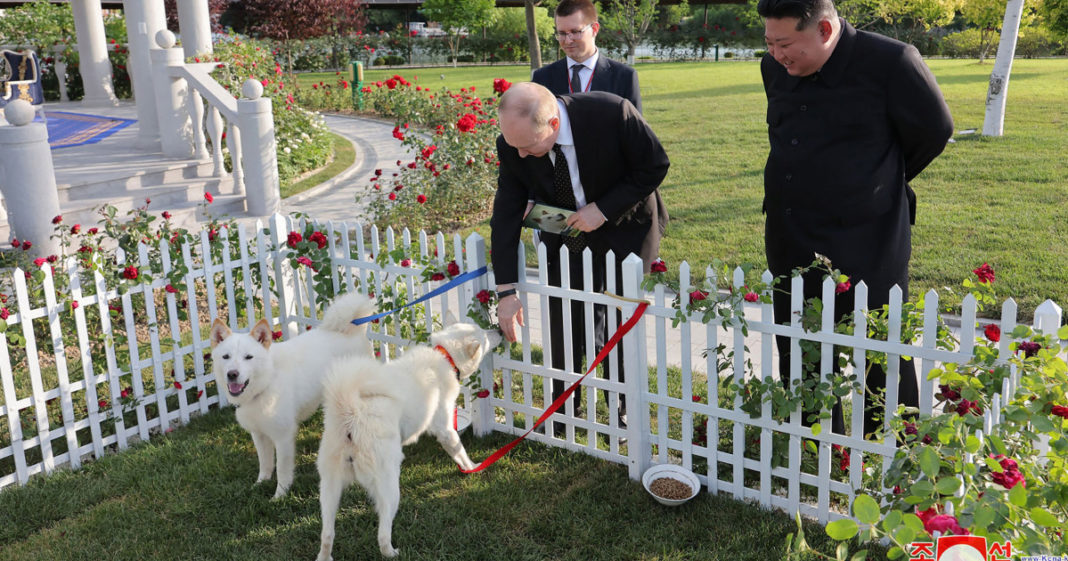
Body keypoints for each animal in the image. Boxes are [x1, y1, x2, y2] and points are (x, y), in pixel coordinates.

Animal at [208, 290, 375, 495]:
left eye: (248, 357)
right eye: (226, 357)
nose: (232, 374)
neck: (267, 381)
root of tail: (352, 329)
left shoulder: (283, 437)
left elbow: (282, 470)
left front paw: (280, 495)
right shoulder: (259, 434)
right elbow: (265, 463)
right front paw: (260, 483)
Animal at [313, 320, 501, 555]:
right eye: (484, 336)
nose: (499, 330)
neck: (444, 355)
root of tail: (350, 412)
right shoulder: (445, 429)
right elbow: (460, 452)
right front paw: (473, 467)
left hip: (329, 488)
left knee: (327, 534)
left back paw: (325, 555)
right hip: (390, 487)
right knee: (383, 534)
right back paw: (392, 553)